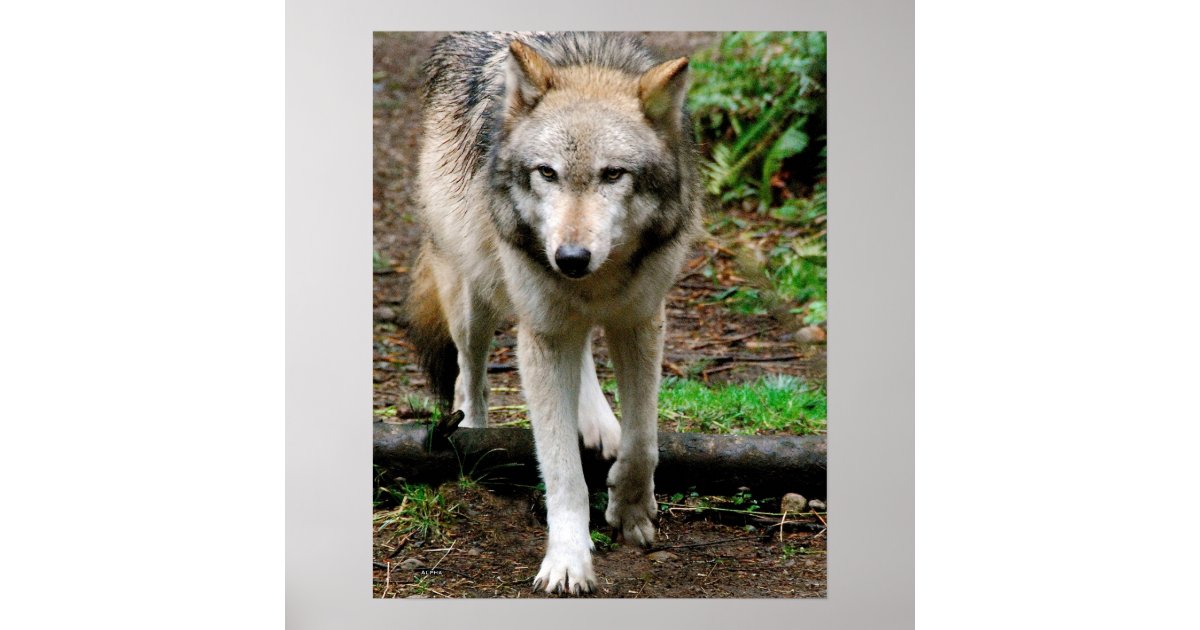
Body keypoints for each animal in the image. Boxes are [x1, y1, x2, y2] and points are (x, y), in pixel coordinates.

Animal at [405, 32, 701, 595]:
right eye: (548, 173)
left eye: (613, 175)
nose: (570, 259)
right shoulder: (541, 332)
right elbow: (563, 471)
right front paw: (568, 560)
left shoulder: (641, 320)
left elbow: (643, 441)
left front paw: (631, 511)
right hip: (477, 298)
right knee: (470, 378)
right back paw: (474, 436)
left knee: (581, 352)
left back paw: (599, 423)